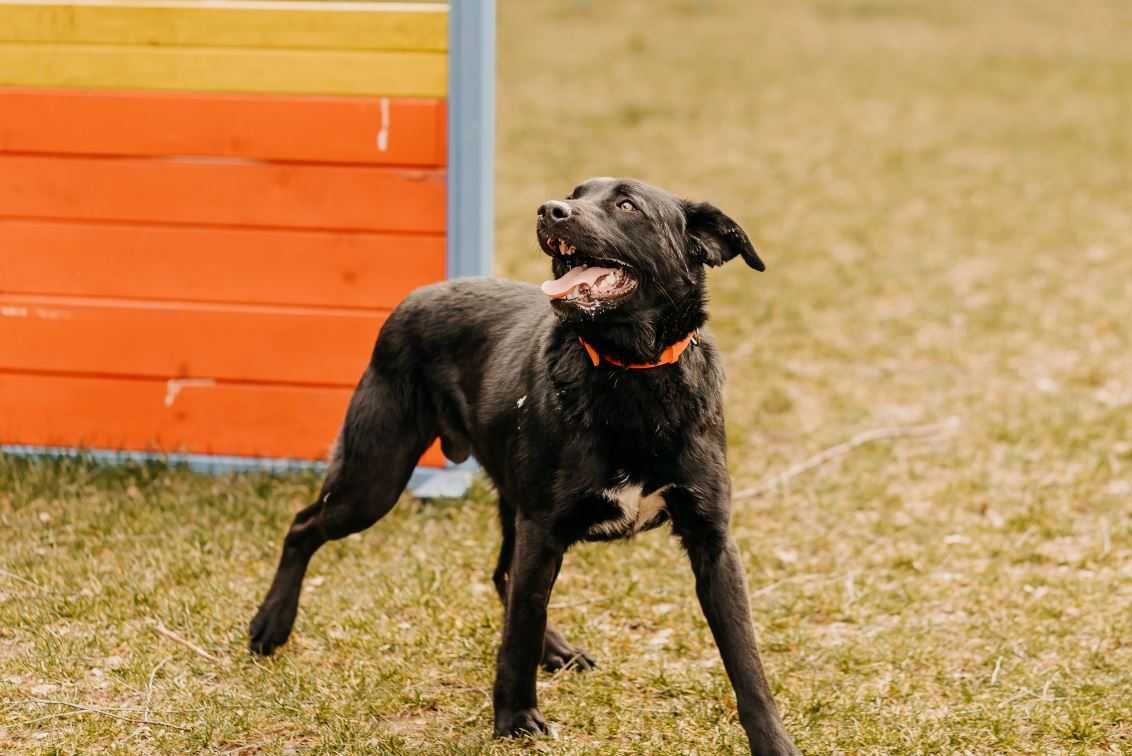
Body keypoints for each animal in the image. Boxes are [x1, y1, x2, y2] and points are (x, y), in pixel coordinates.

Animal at [250, 178, 796, 756]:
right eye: (577, 193)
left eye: (627, 204)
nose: (550, 210)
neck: (629, 375)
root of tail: (420, 294)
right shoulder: (544, 527)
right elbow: (521, 628)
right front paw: (515, 717)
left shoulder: (712, 541)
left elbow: (746, 659)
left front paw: (773, 740)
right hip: (375, 479)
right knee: (304, 526)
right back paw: (270, 625)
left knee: (504, 575)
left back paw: (556, 649)